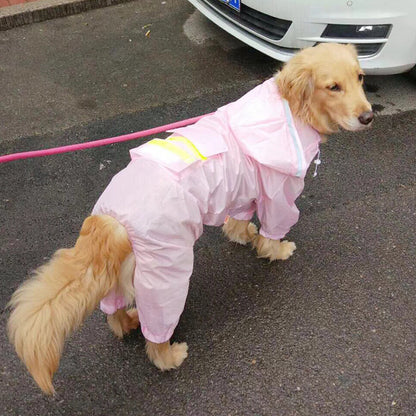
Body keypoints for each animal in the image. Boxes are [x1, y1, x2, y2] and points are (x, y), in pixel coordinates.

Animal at [6, 43, 372, 396]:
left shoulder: (246, 188)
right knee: (156, 333)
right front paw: (277, 250)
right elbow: (273, 232)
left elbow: (238, 220)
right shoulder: (278, 194)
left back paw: (128, 322)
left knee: (115, 312)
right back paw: (169, 355)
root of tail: (111, 219)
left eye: (360, 77)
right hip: (168, 272)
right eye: (333, 87)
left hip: (125, 271)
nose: (368, 117)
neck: (289, 108)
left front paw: (242, 234)